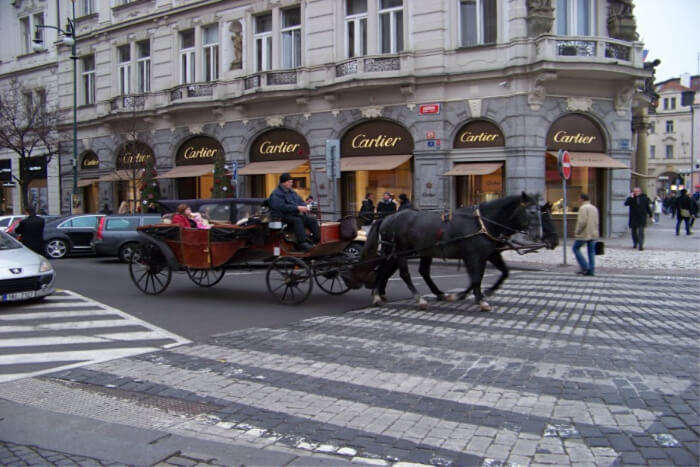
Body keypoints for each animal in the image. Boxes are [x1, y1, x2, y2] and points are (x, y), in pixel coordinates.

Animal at [344, 192, 556, 312]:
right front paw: (479, 299)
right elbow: (476, 278)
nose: (547, 238)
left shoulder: (490, 253)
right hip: (399, 251)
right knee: (402, 273)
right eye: (532, 212)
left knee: (395, 271)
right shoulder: (473, 256)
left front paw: (483, 293)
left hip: (411, 251)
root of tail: (388, 217)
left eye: (542, 213)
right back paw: (416, 299)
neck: (482, 222)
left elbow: (502, 272)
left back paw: (381, 294)